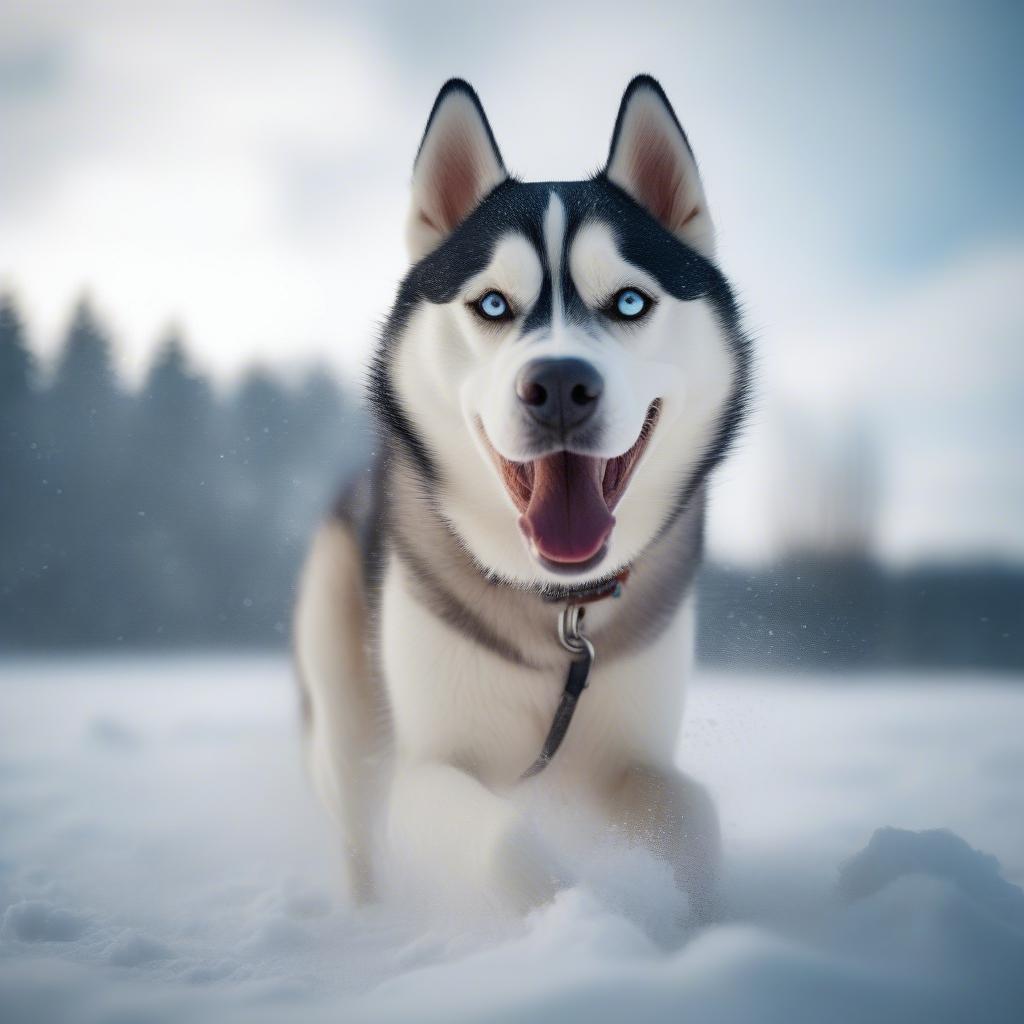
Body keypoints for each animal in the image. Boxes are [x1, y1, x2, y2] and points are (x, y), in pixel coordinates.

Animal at [292, 75, 749, 917]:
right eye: (494, 304)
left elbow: (696, 825)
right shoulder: (427, 769)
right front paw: (575, 920)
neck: (558, 616)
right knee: (355, 817)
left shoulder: (631, 758)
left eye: (629, 302)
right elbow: (506, 849)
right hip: (339, 669)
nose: (560, 385)